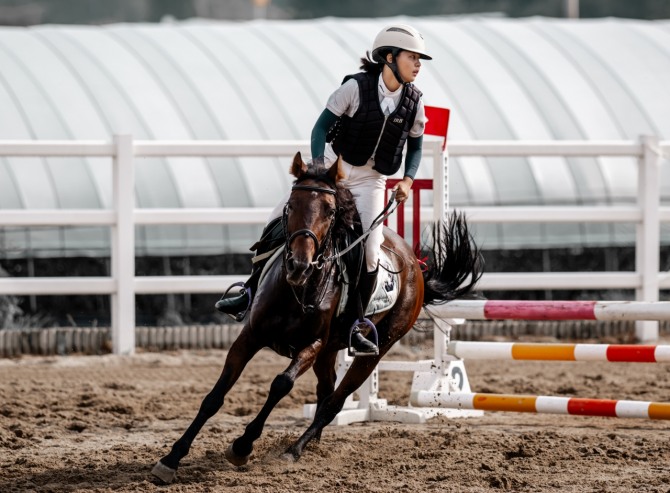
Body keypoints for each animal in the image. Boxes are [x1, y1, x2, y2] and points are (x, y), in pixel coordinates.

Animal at [152, 152, 484, 482]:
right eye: (290, 205)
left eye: (330, 211)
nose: (299, 265)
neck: (296, 290)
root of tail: (415, 264)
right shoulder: (250, 337)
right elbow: (215, 396)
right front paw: (171, 458)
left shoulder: (311, 345)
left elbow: (281, 384)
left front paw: (243, 445)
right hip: (329, 351)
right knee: (326, 390)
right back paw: (313, 444)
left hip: (375, 349)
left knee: (334, 401)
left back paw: (294, 450)